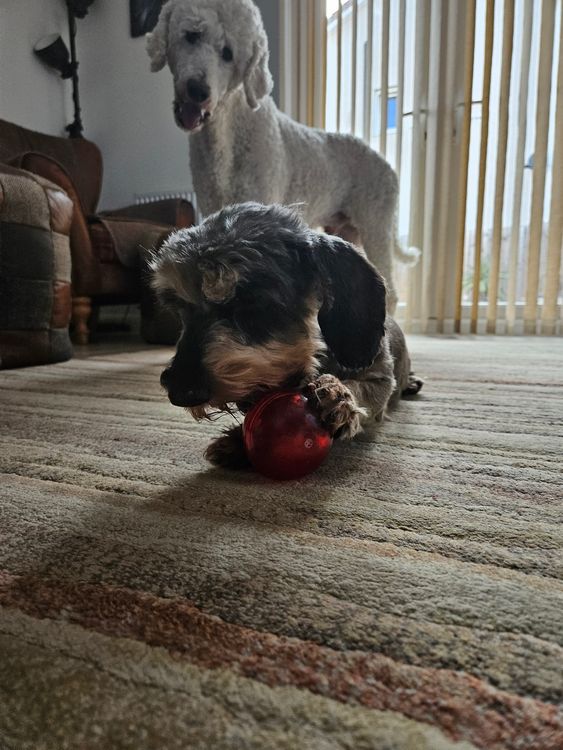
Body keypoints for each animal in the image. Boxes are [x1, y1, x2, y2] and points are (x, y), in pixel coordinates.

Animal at [146, 0, 419, 311]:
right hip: (349, 230)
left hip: (376, 225)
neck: (228, 131)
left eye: (228, 54)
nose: (198, 90)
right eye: (192, 35)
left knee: (390, 289)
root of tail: (386, 162)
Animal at [150, 202, 422, 469]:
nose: (180, 393)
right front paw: (237, 439)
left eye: (254, 303)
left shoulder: (381, 379)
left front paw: (339, 397)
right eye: (178, 309)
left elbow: (365, 390)